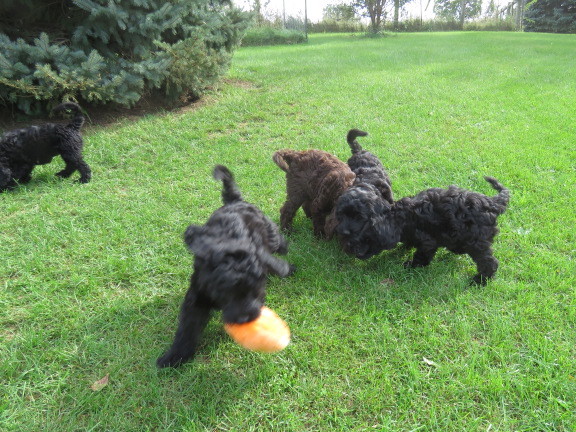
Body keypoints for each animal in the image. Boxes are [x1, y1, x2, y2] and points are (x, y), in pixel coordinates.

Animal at [156, 165, 292, 368]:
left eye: (256, 290)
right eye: (226, 293)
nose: (245, 318)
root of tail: (235, 201)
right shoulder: (198, 294)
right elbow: (188, 326)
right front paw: (175, 355)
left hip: (269, 232)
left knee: (277, 240)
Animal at [374, 176, 508, 284]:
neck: (400, 217)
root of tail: (492, 204)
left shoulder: (427, 241)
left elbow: (421, 255)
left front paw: (411, 265)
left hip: (476, 241)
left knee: (489, 262)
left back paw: (479, 281)